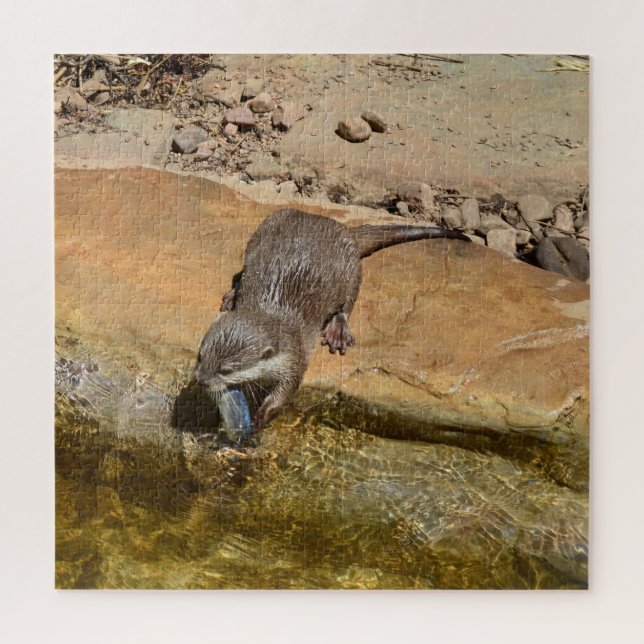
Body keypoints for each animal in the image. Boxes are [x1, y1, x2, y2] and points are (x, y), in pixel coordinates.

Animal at [195, 208, 469, 431]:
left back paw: (338, 331)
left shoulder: (294, 358)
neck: (270, 310)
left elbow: (285, 393)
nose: (200, 380)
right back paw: (233, 295)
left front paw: (261, 415)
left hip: (352, 268)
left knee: (347, 302)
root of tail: (339, 227)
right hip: (260, 233)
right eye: (200, 357)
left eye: (226, 370)